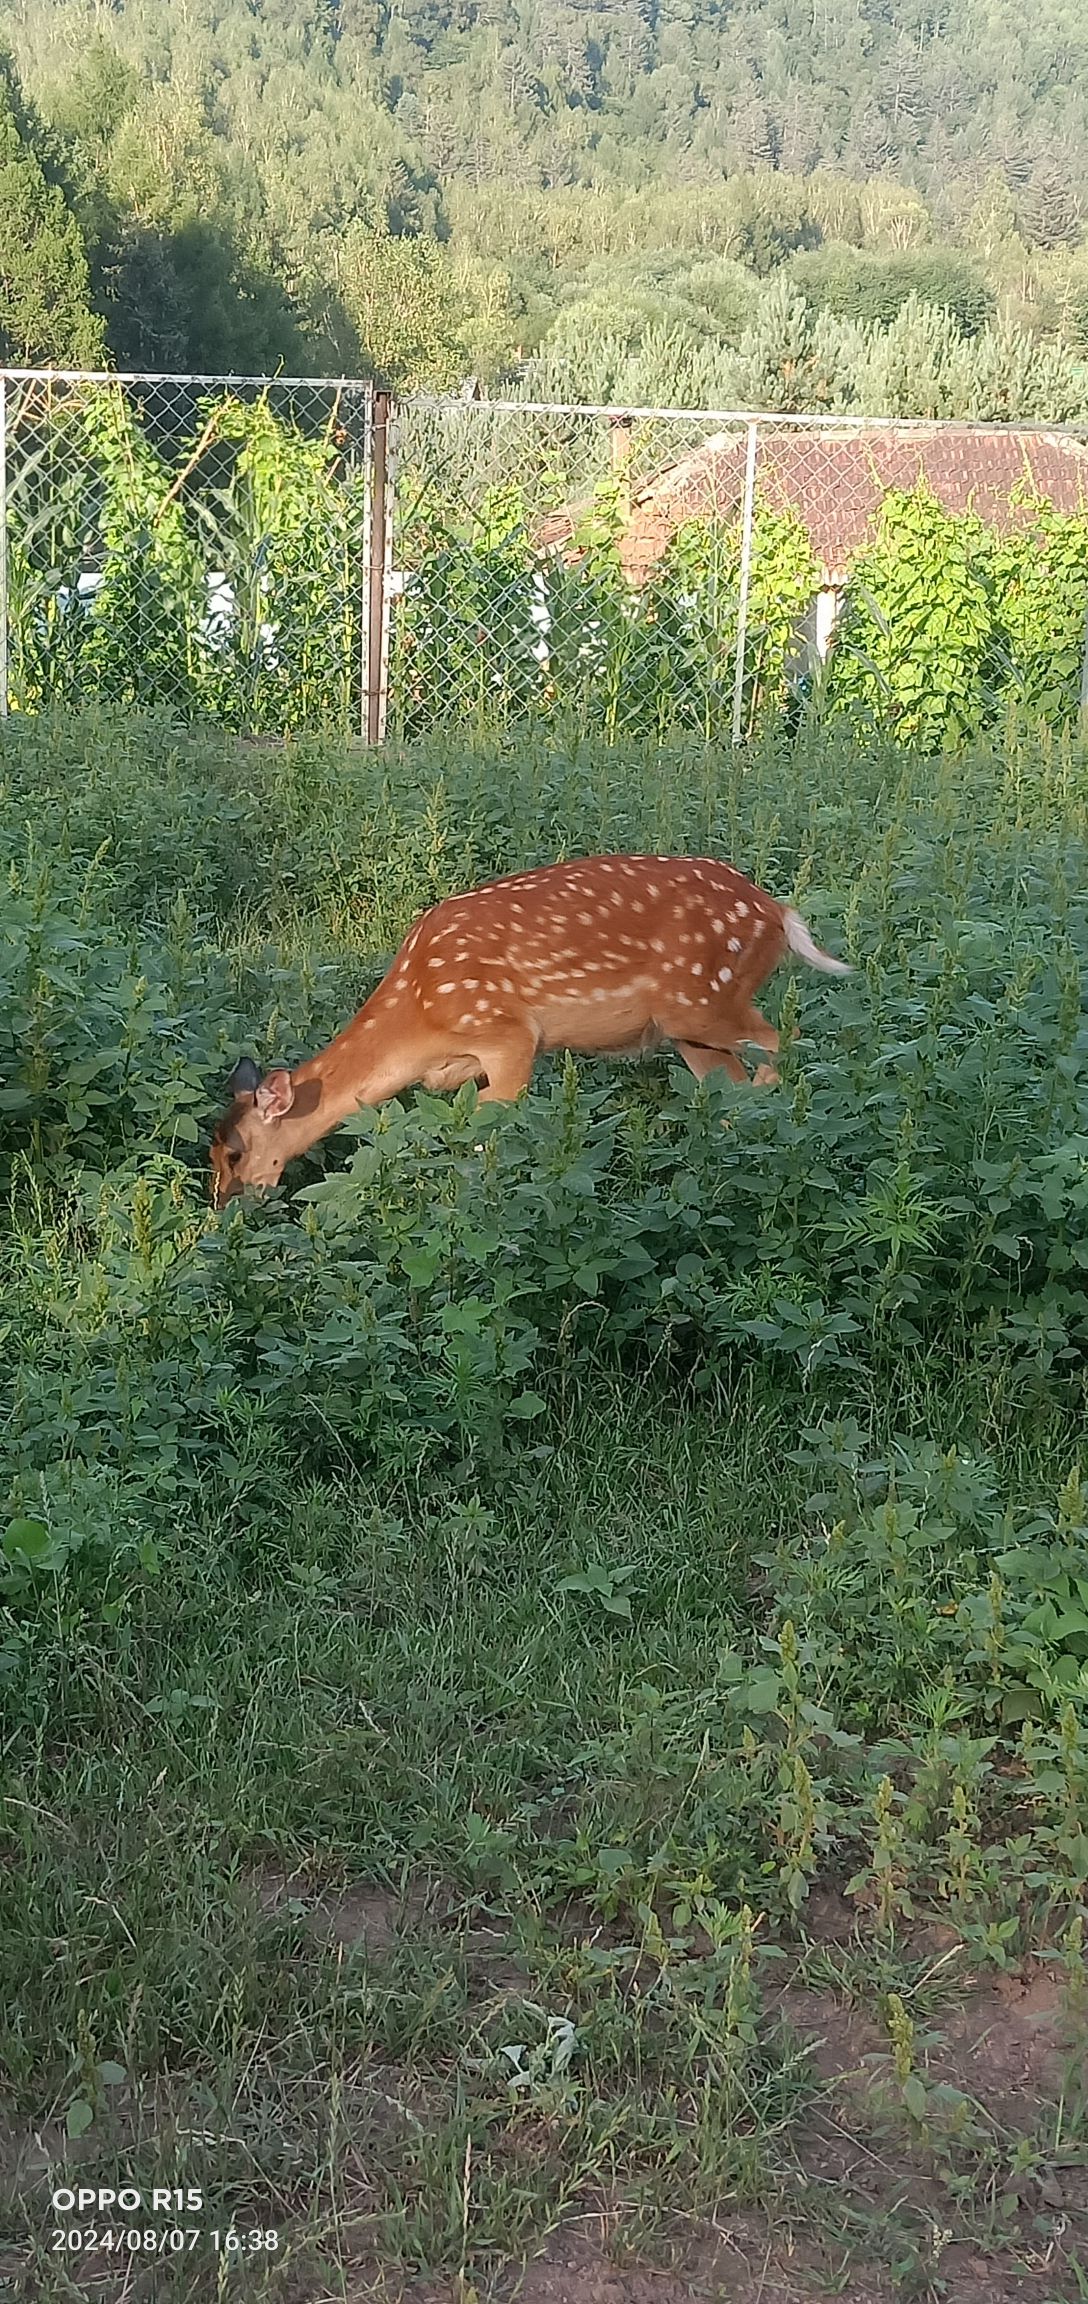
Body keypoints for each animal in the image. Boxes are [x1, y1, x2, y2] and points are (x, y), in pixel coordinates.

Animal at [210, 854, 850, 1206]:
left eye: (237, 1154)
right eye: (210, 1150)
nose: (222, 1208)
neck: (420, 1019)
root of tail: (779, 913)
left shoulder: (506, 1034)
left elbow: (490, 1129)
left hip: (703, 999)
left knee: (782, 1042)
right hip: (689, 1026)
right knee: (730, 1086)